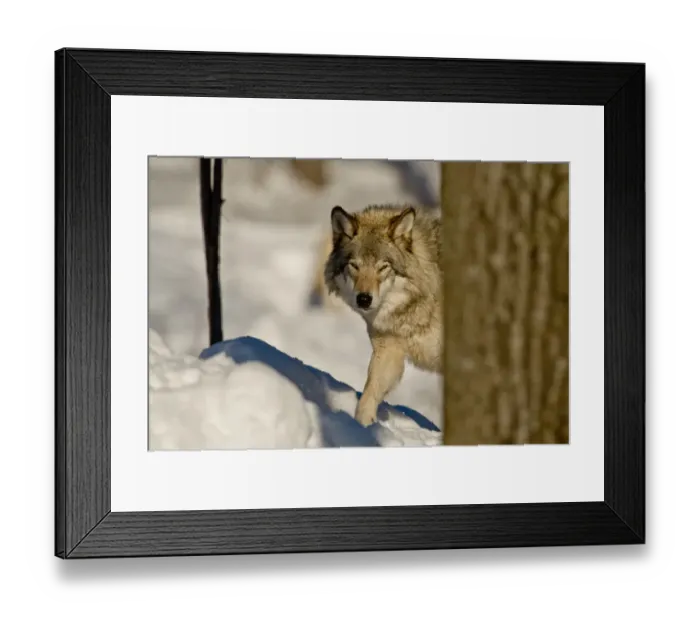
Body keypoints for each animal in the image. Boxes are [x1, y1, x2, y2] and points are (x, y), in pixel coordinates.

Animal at [324, 203, 443, 426]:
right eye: (354, 265)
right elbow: (369, 395)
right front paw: (361, 428)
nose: (364, 299)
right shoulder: (388, 350)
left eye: (383, 266)